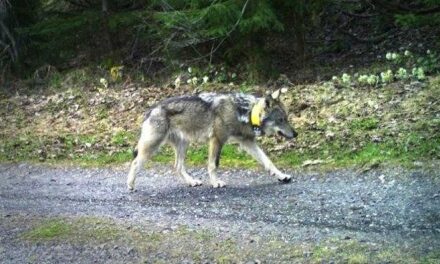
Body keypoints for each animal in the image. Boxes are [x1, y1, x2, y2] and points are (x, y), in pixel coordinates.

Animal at [127, 89, 300, 190]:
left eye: (287, 118)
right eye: (281, 120)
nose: (296, 134)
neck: (245, 112)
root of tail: (151, 109)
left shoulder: (247, 142)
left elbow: (268, 161)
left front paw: (281, 176)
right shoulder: (217, 140)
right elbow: (213, 165)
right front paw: (216, 183)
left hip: (184, 145)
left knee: (177, 166)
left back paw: (191, 182)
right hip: (152, 147)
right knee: (135, 163)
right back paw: (130, 185)